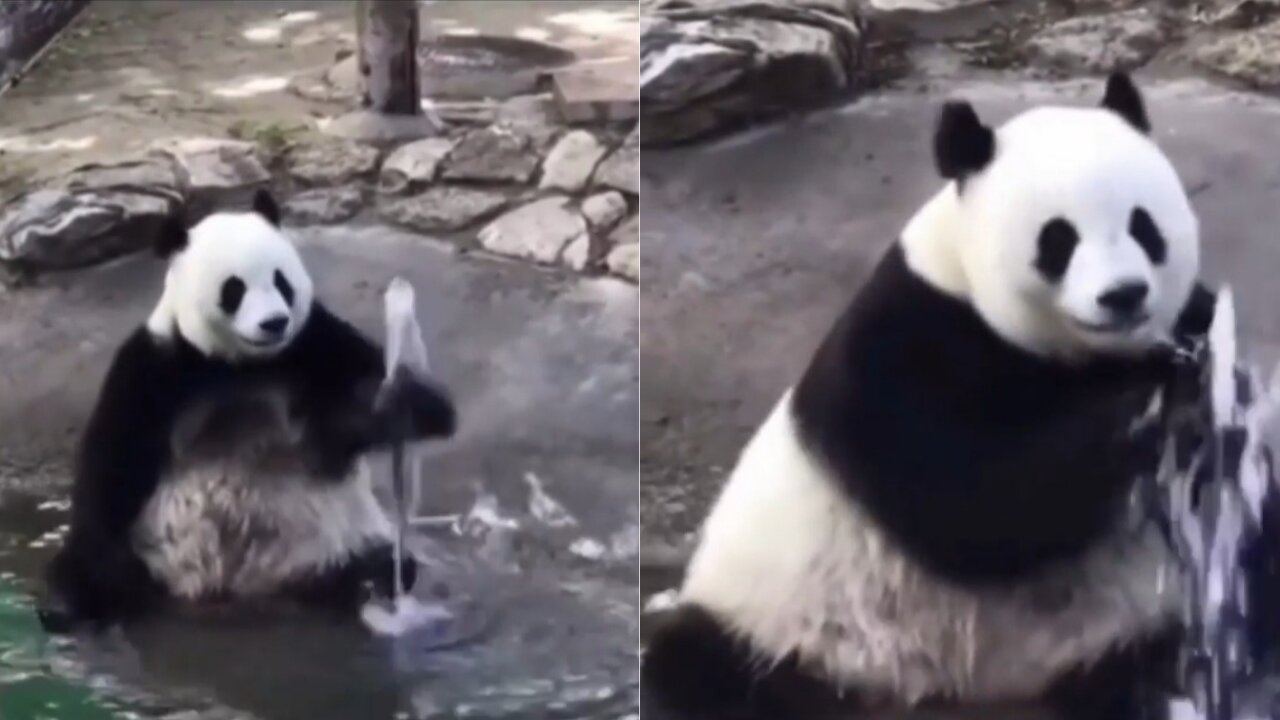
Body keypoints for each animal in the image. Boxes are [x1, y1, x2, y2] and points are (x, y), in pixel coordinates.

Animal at [40, 189, 455, 627]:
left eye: (281, 281)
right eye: (234, 289)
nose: (274, 322)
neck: (242, 364)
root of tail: (239, 589)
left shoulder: (313, 346)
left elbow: (342, 423)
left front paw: (404, 403)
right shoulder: (159, 366)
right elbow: (115, 458)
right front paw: (105, 569)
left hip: (325, 543)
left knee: (381, 562)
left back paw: (366, 581)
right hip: (160, 557)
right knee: (80, 580)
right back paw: (77, 602)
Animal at [640, 74, 1280, 717]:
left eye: (1144, 227)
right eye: (1059, 239)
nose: (1123, 295)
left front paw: (1204, 399)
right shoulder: (905, 341)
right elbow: (967, 502)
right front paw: (1155, 397)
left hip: (1112, 625)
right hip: (788, 625)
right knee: (699, 664)